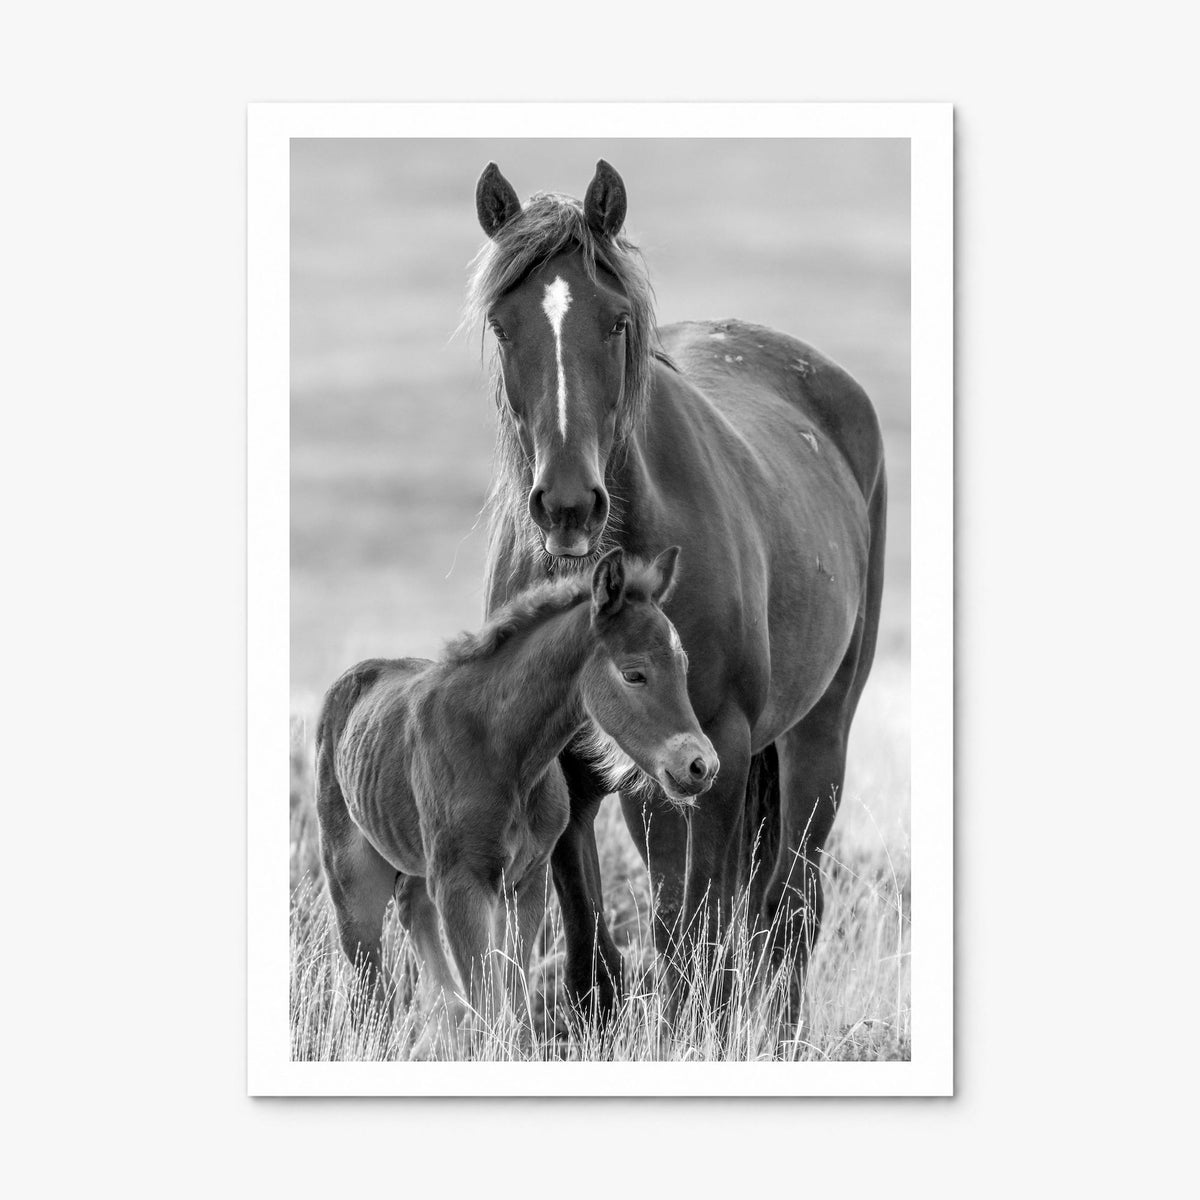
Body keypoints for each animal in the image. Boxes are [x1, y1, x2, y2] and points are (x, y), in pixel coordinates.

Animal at [314, 547, 717, 1044]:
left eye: (683, 667)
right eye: (634, 674)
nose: (700, 766)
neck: (506, 753)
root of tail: (350, 682)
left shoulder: (527, 881)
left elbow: (516, 1006)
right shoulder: (461, 884)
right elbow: (491, 1008)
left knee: (414, 915)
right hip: (351, 877)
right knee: (370, 976)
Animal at [469, 159, 887, 1014]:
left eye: (617, 322)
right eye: (503, 325)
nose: (569, 505)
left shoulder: (706, 754)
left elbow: (693, 940)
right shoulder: (567, 772)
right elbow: (593, 948)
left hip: (815, 738)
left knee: (787, 909)